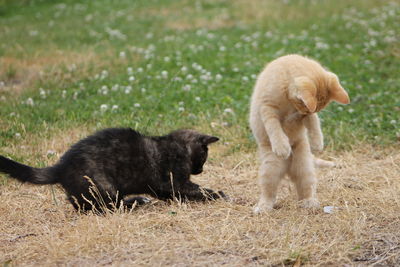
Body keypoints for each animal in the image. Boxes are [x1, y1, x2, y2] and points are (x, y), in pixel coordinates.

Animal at [0, 129, 225, 213]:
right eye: (204, 157)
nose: (200, 170)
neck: (177, 145)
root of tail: (60, 167)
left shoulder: (162, 188)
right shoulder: (174, 181)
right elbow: (195, 189)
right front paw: (217, 194)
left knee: (82, 206)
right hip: (106, 187)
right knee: (106, 206)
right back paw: (137, 201)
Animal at [250, 54, 350, 214]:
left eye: (311, 110)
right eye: (302, 105)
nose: (303, 113)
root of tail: (287, 168)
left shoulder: (307, 116)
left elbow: (314, 124)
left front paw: (317, 143)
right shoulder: (267, 108)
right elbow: (274, 126)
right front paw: (282, 146)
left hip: (304, 167)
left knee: (305, 189)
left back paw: (310, 203)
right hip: (270, 169)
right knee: (268, 193)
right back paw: (263, 207)